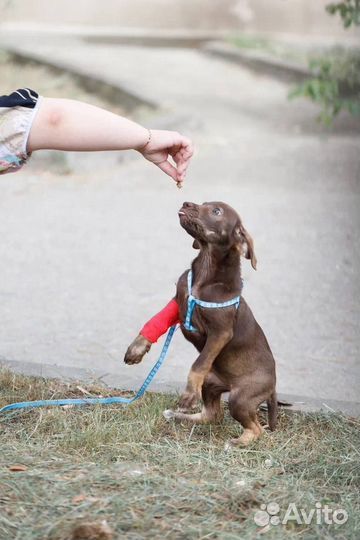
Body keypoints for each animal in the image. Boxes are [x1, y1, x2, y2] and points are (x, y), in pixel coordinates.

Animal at [125, 202, 278, 448]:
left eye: (216, 211)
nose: (185, 203)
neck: (205, 272)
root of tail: (273, 386)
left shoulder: (220, 333)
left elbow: (199, 363)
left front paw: (188, 394)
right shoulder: (177, 302)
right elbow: (156, 319)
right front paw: (137, 349)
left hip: (241, 398)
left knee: (255, 429)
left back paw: (237, 442)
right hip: (211, 382)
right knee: (212, 415)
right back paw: (177, 416)